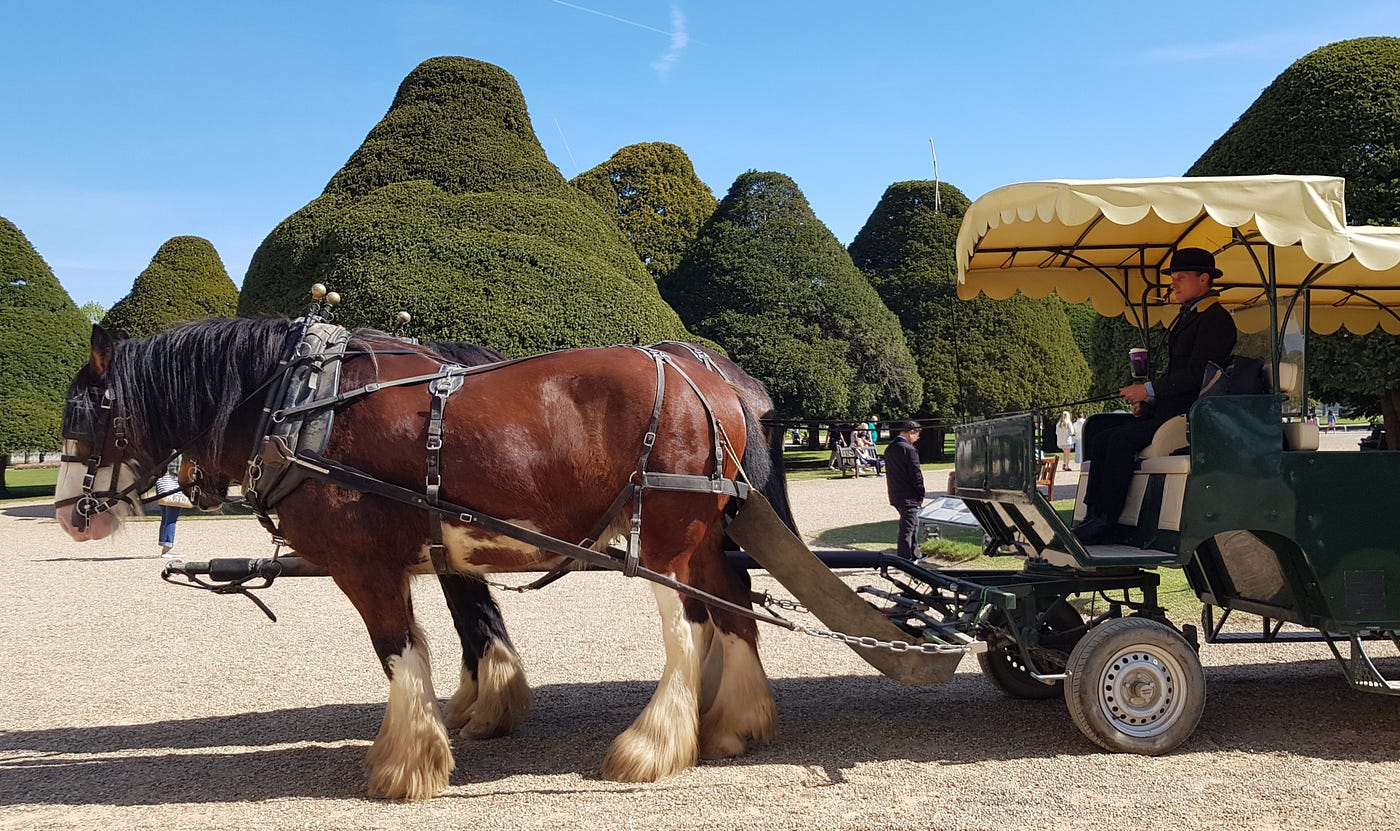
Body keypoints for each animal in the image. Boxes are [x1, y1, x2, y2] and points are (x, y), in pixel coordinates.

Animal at [55, 318, 778, 800]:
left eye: (87, 415)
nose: (68, 514)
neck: (305, 407)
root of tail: (708, 379)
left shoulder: (364, 566)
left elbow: (398, 652)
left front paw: (407, 762)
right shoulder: (438, 553)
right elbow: (458, 629)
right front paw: (465, 715)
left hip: (663, 541)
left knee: (689, 628)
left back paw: (652, 743)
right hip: (700, 539)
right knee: (733, 601)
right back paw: (735, 720)